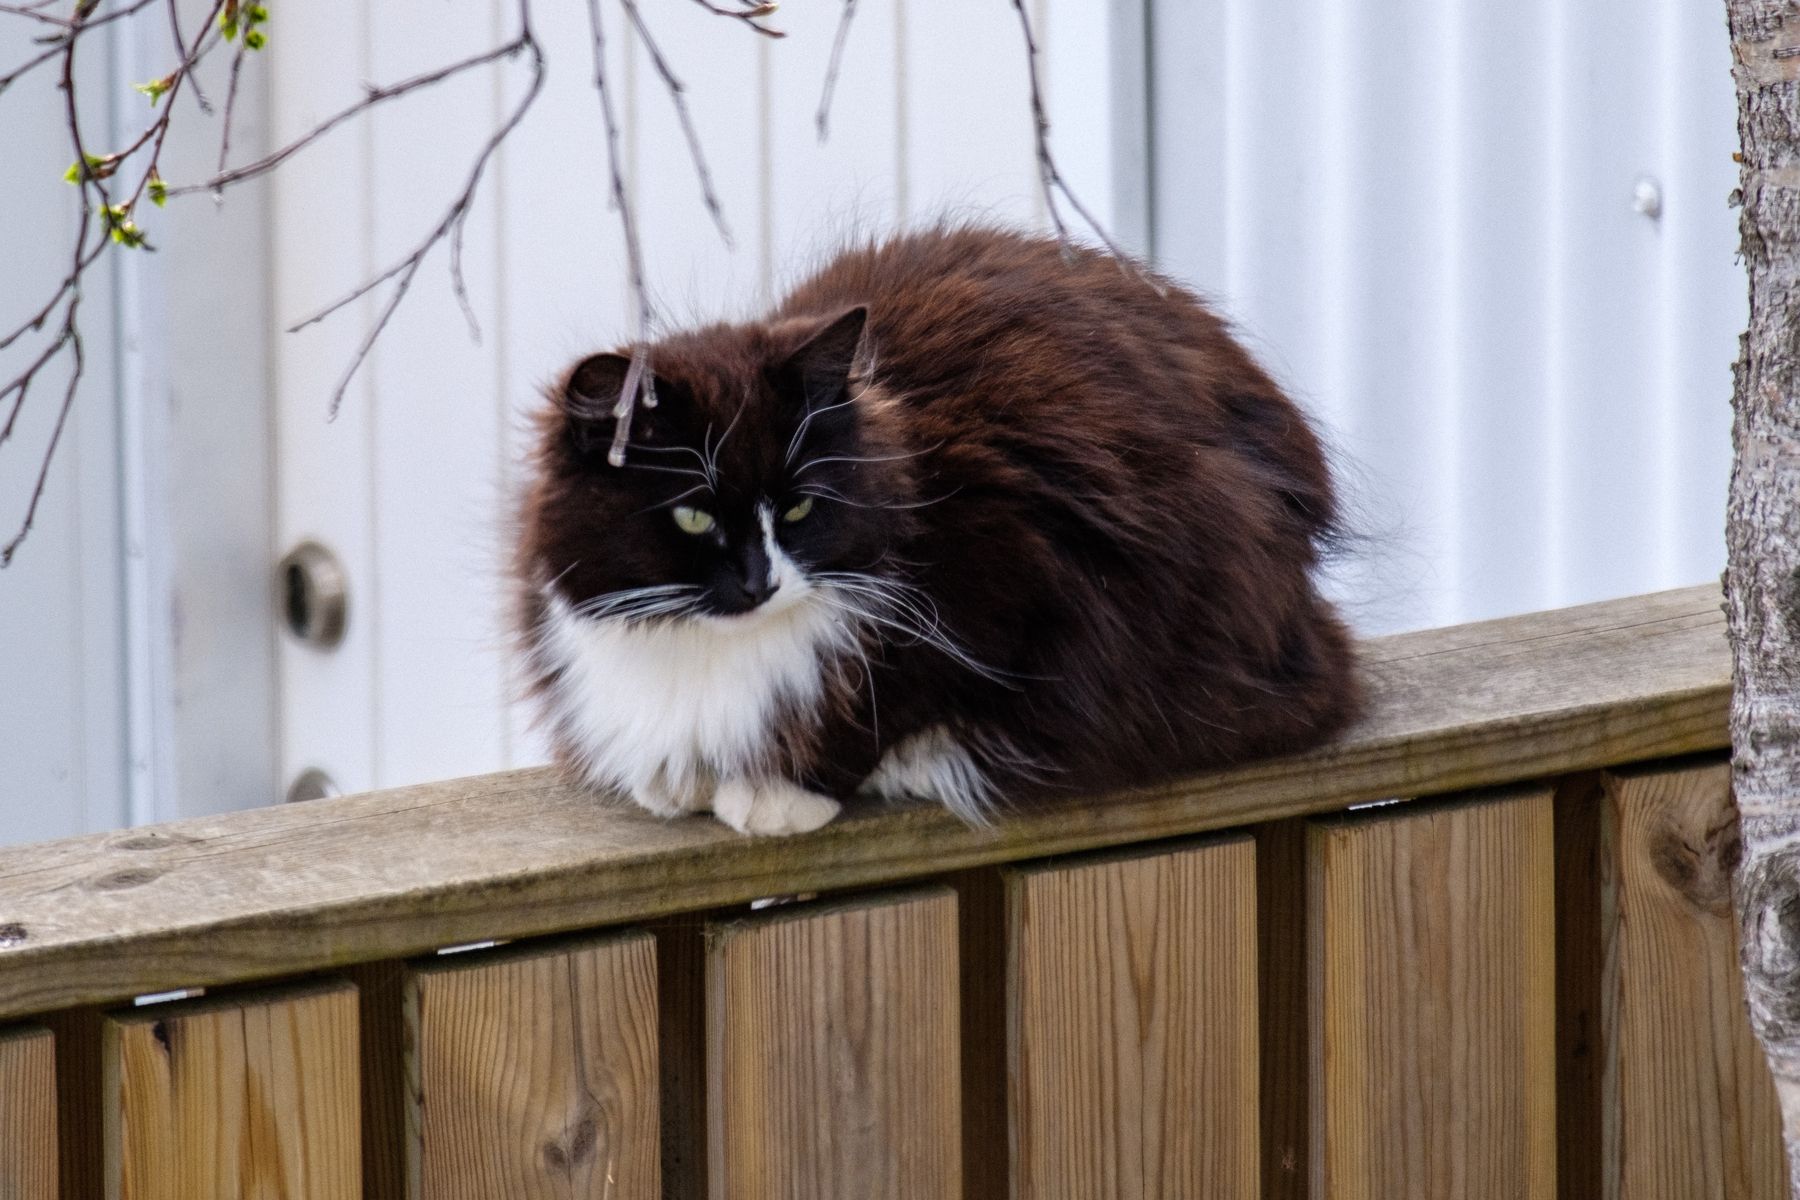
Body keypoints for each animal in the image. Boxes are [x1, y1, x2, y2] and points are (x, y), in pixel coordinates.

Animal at [514, 230, 1353, 841]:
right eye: (694, 516)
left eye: (799, 509)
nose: (761, 583)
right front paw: (683, 776)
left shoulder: (1020, 572)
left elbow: (884, 698)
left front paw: (779, 792)